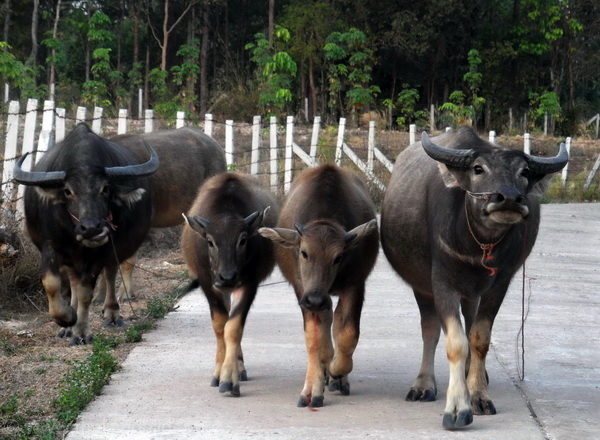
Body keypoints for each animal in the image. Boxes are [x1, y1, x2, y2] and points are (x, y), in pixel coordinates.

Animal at [14, 122, 159, 346]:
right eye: (67, 191)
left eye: (105, 188)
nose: (91, 228)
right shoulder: (51, 246)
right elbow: (52, 284)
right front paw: (66, 319)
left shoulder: (100, 253)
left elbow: (85, 293)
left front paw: (81, 332)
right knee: (72, 282)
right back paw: (67, 327)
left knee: (109, 274)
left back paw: (112, 315)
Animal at [180, 172, 278, 396]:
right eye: (210, 241)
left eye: (242, 240)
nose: (227, 277)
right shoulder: (208, 284)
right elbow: (220, 326)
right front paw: (218, 373)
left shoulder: (249, 283)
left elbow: (232, 328)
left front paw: (228, 378)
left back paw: (239, 367)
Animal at [258, 165, 380, 410]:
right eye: (304, 253)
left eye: (338, 257)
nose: (314, 299)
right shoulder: (303, 291)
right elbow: (314, 339)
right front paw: (312, 388)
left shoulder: (355, 285)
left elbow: (347, 334)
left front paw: (336, 370)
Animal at [380, 127, 568, 430]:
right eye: (478, 169)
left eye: (524, 171)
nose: (509, 198)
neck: (477, 244)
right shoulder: (441, 284)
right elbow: (455, 342)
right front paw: (457, 407)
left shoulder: (499, 283)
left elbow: (479, 338)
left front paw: (478, 394)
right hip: (424, 287)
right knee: (430, 330)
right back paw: (423, 385)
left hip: (472, 291)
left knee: (469, 321)